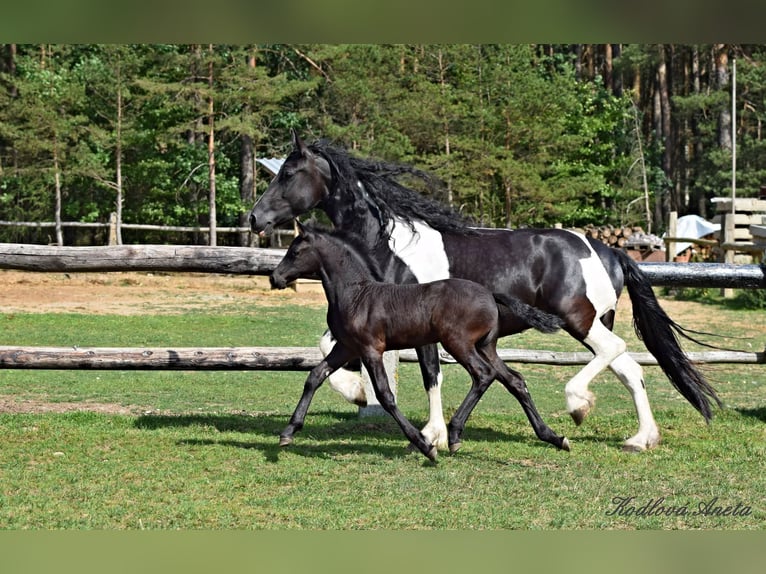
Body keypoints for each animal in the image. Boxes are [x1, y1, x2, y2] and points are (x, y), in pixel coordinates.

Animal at [270, 223, 568, 462]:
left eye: (294, 252)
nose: (275, 277)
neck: (357, 295)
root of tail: (490, 293)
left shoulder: (370, 349)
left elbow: (385, 396)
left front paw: (425, 446)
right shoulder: (346, 347)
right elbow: (315, 376)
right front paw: (288, 432)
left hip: (458, 343)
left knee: (483, 375)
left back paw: (455, 434)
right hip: (486, 346)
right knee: (514, 380)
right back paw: (555, 437)